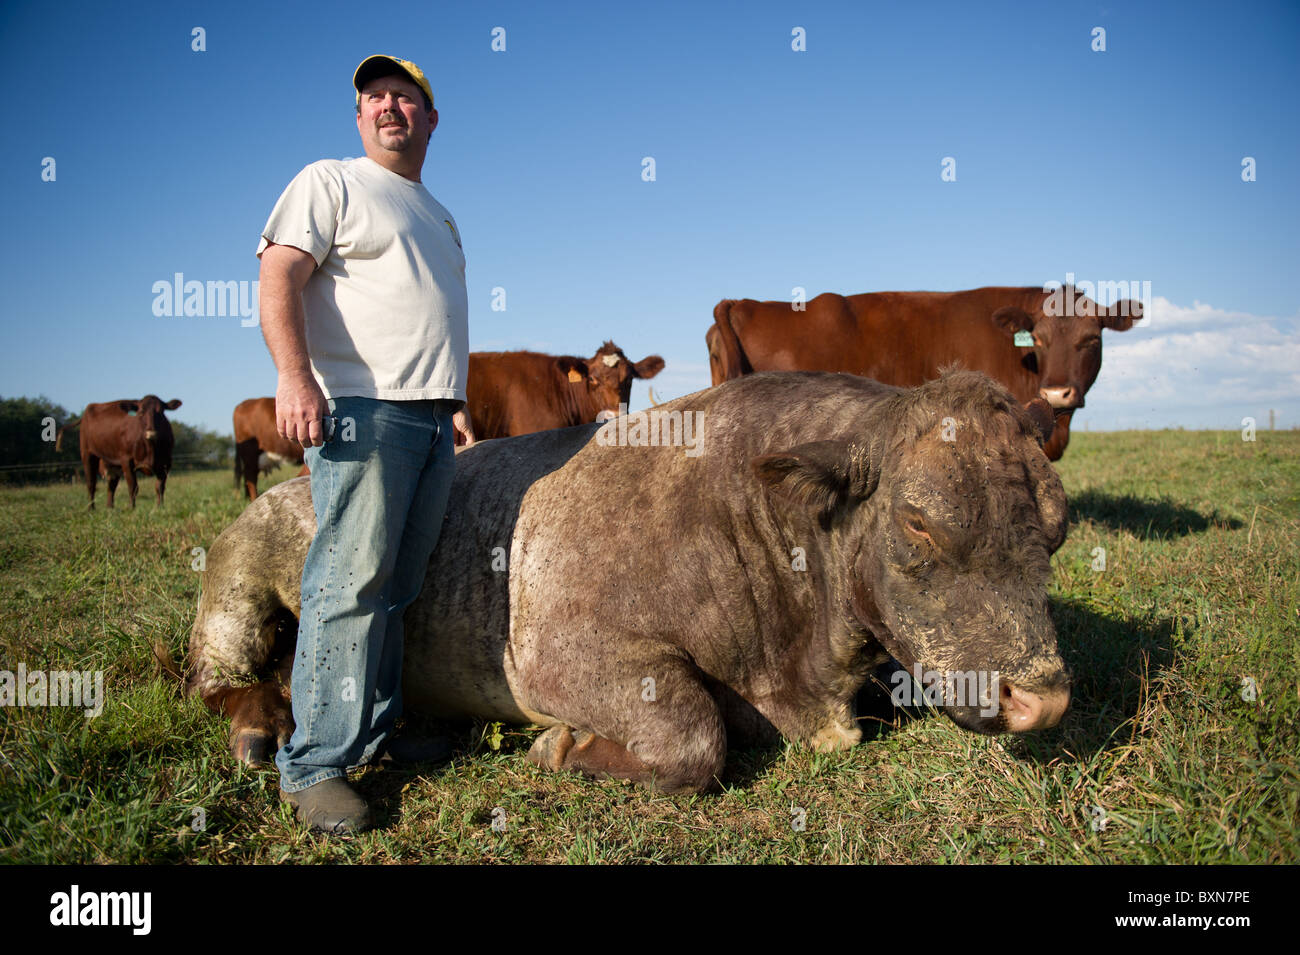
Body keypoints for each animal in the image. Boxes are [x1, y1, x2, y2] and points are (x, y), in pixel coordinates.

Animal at [188, 369, 1071, 795]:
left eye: (1058, 528)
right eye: (919, 521)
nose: (1043, 698)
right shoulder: (558, 655)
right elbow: (693, 735)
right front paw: (560, 746)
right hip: (239, 585)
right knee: (216, 677)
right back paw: (260, 726)